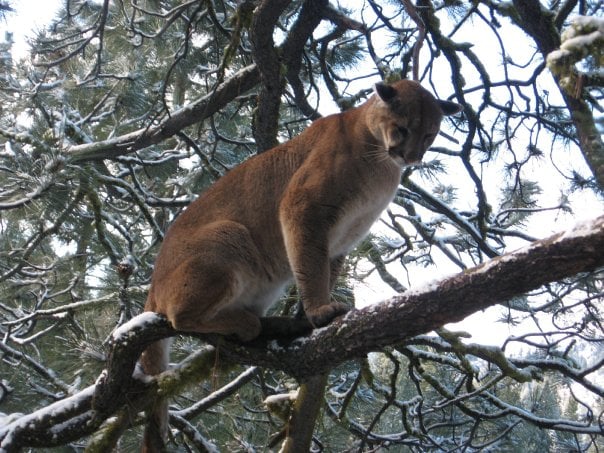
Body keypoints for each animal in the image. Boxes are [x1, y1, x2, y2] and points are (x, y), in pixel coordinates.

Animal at [139, 79, 460, 450]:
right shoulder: (303, 208)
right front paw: (320, 310)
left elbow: (325, 271)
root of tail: (152, 286)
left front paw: (308, 318)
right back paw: (248, 324)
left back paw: (272, 325)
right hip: (228, 235)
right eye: (403, 128)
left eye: (430, 134)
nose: (412, 157)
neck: (379, 161)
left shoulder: (342, 240)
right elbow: (309, 263)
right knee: (179, 316)